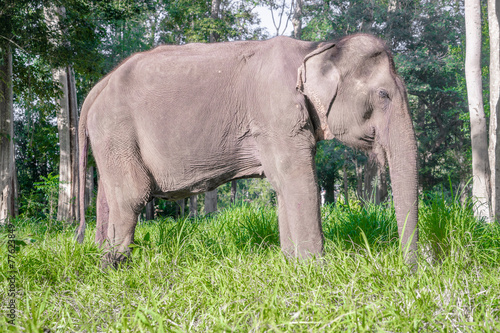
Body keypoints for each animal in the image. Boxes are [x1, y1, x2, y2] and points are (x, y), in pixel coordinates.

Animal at [74, 33, 418, 268]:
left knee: (109, 196)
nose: (411, 270)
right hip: (116, 131)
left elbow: (283, 186)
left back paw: (101, 258)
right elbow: (298, 181)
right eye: (384, 94)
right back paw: (114, 269)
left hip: (111, 140)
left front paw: (292, 265)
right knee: (131, 196)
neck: (314, 48)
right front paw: (318, 273)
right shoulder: (276, 115)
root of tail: (98, 86)